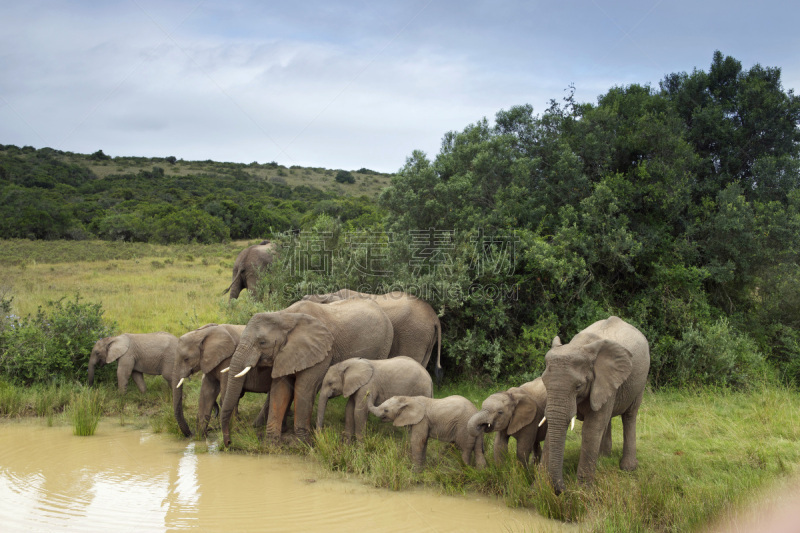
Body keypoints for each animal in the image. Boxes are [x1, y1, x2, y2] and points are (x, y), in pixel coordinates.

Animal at [219, 300, 394, 444]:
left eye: (262, 342)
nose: (228, 442)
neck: (284, 316)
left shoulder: (321, 351)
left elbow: (304, 388)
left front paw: (301, 443)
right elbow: (280, 390)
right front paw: (271, 443)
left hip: (384, 345)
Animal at [544, 316, 648, 494]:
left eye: (578, 386)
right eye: (544, 382)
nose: (563, 490)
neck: (579, 345)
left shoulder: (606, 380)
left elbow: (591, 429)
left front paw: (583, 492)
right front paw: (539, 484)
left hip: (641, 379)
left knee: (629, 416)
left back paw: (628, 468)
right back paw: (603, 457)